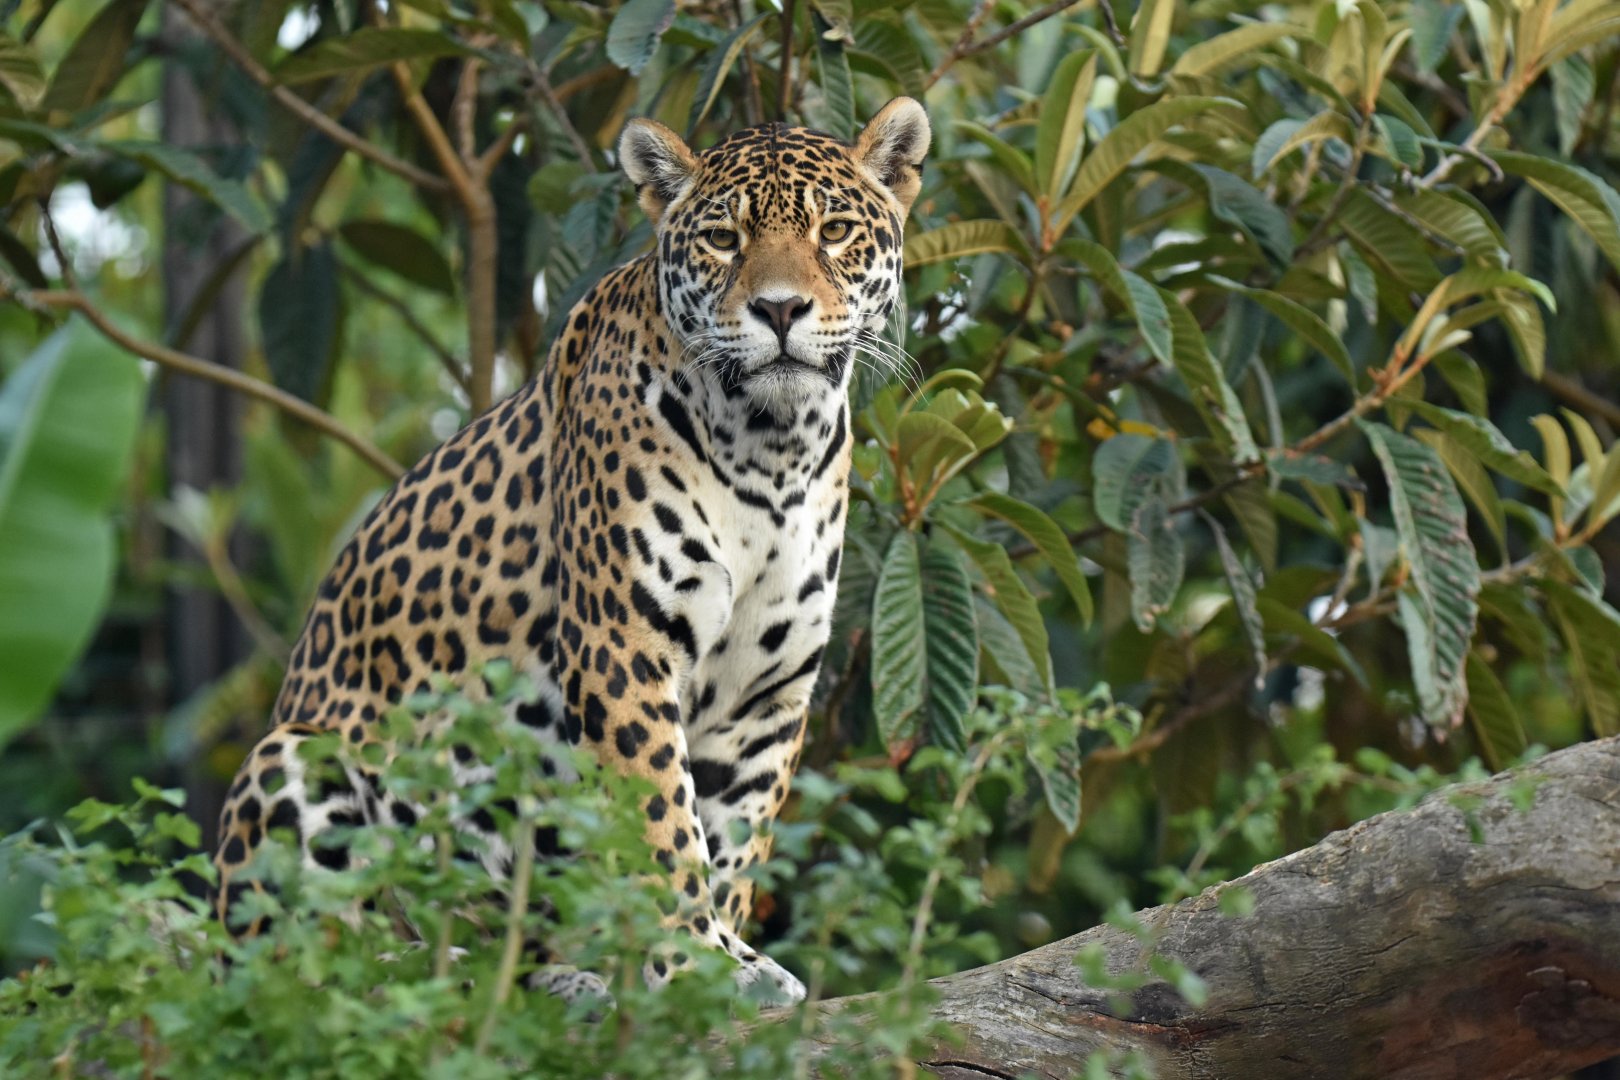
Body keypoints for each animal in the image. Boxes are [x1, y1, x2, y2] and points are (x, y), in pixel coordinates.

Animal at [210, 98, 932, 1006]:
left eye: (833, 231)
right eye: (723, 239)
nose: (778, 311)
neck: (772, 449)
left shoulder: (765, 691)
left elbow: (734, 838)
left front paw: (731, 958)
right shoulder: (623, 647)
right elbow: (662, 818)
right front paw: (691, 961)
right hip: (295, 756)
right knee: (296, 967)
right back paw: (460, 970)